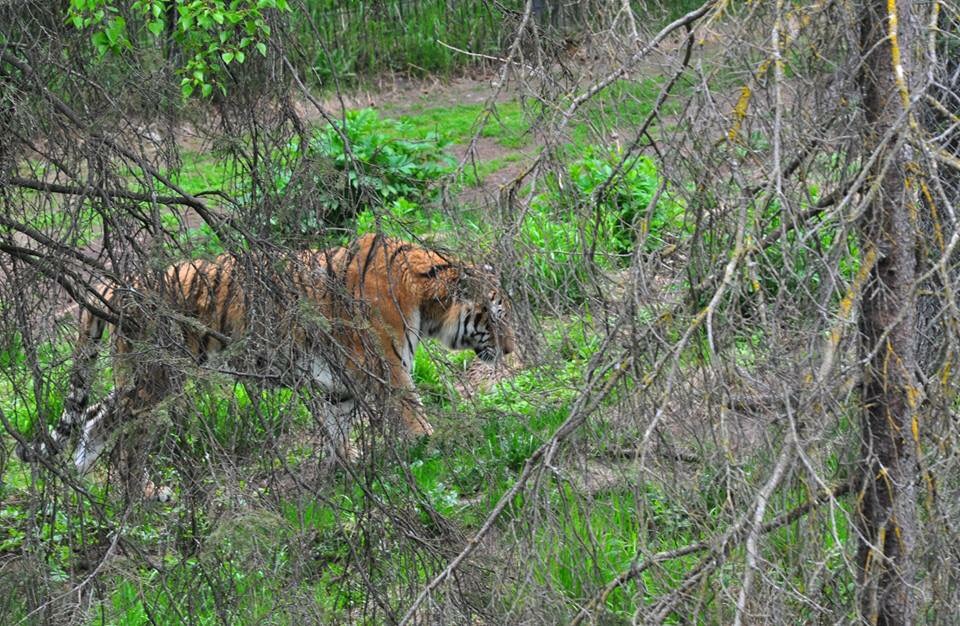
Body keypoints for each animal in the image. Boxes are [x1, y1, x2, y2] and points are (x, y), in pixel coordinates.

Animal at [18, 233, 516, 479]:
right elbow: (413, 415)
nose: (511, 351)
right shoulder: (386, 370)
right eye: (496, 315)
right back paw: (137, 499)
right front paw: (438, 447)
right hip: (156, 378)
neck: (425, 298)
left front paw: (341, 470)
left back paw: (81, 488)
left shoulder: (340, 384)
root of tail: (112, 286)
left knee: (92, 419)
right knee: (116, 434)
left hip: (137, 378)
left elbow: (335, 428)